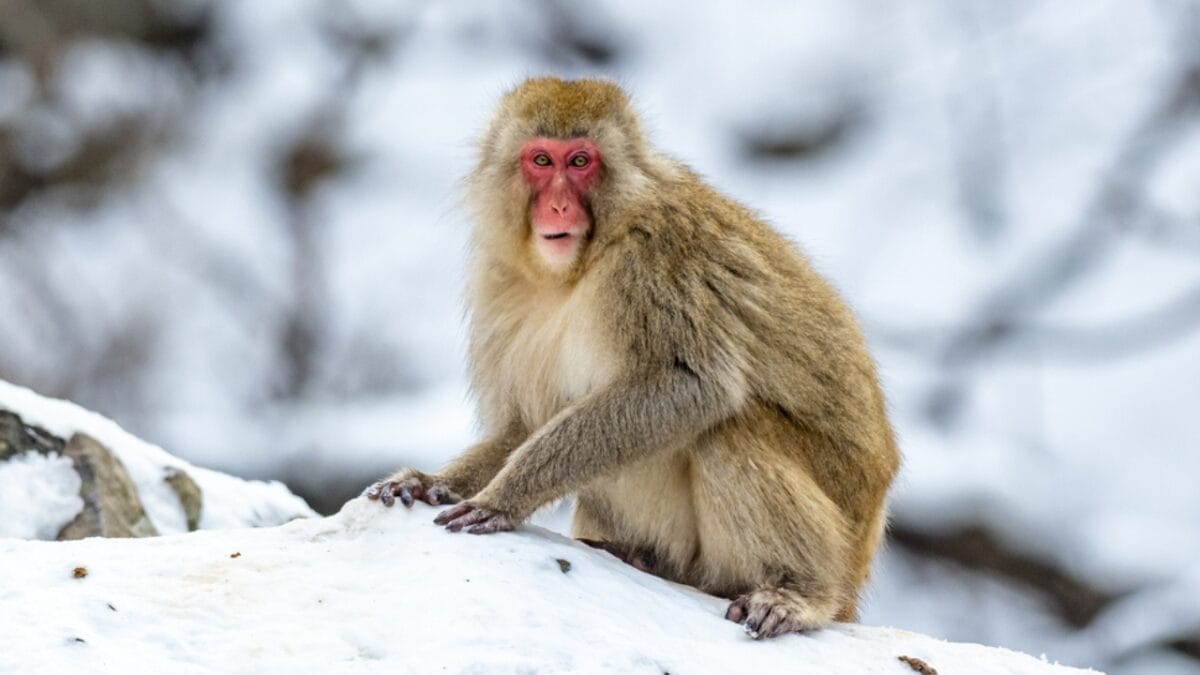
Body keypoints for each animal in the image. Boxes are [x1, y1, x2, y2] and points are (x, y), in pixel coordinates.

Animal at [366, 77, 900, 639]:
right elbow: (524, 422)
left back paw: (799, 594)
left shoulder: (656, 259)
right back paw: (639, 557)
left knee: (731, 429)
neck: (579, 267)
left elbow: (688, 385)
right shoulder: (499, 279)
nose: (559, 207)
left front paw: (504, 497)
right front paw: (433, 483)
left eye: (581, 161)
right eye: (541, 159)